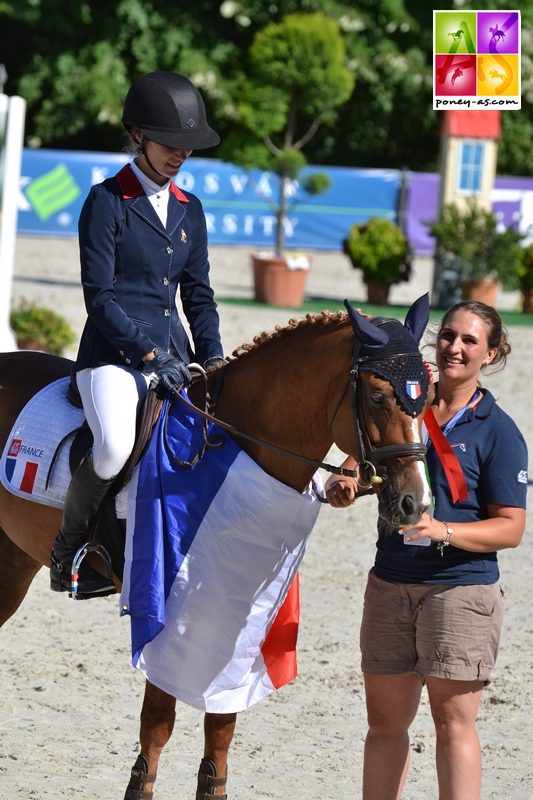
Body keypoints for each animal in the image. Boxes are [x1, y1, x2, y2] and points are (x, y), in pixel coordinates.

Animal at [0, 296, 432, 796]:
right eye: (378, 397)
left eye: (429, 396)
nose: (415, 503)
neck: (234, 442)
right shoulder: (166, 601)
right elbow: (158, 722)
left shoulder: (238, 612)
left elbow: (222, 725)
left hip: (12, 563)